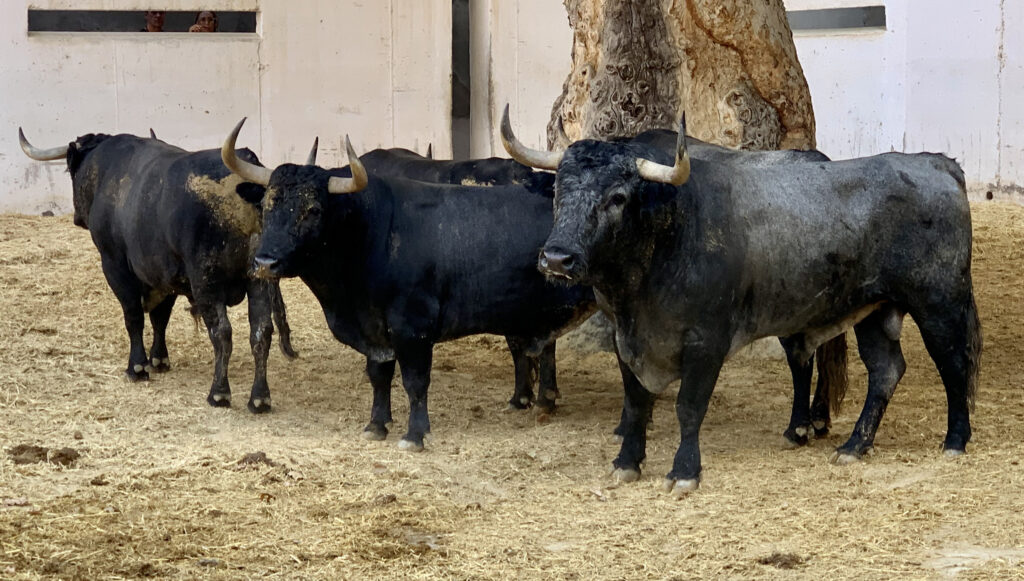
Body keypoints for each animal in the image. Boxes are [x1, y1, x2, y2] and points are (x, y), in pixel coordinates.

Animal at [18, 128, 299, 413]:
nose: (76, 218)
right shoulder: (165, 275)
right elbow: (160, 317)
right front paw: (159, 359)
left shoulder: (115, 265)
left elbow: (134, 316)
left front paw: (138, 366)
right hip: (259, 280)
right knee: (261, 332)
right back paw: (259, 398)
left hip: (206, 281)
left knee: (222, 332)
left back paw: (219, 393)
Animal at [503, 112, 983, 495]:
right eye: (558, 191)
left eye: (617, 197)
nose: (557, 258)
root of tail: (935, 163)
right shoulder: (628, 339)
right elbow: (636, 401)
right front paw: (626, 462)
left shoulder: (706, 342)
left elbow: (689, 406)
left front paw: (684, 472)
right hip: (875, 310)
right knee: (885, 371)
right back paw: (853, 445)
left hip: (939, 303)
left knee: (953, 363)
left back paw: (955, 441)